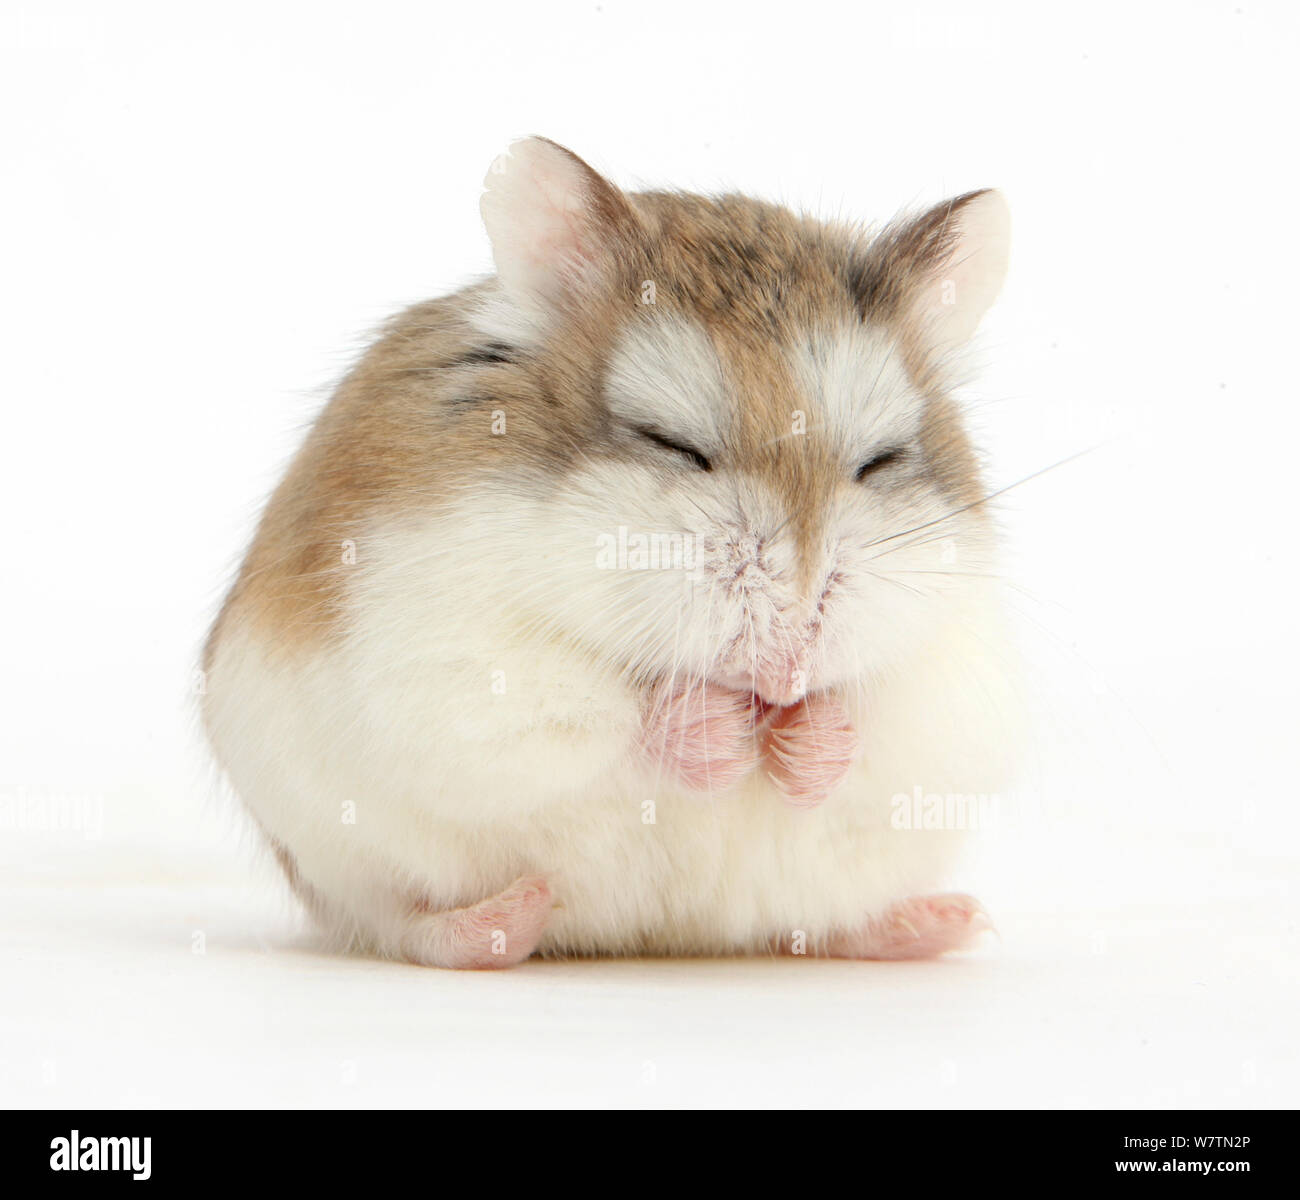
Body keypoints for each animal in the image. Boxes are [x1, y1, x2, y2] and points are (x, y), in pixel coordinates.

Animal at [202, 135, 1019, 972]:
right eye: (674, 444)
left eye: (878, 462)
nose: (786, 671)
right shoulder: (450, 660)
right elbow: (616, 721)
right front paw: (724, 733)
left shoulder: (956, 686)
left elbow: (873, 730)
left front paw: (802, 737)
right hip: (334, 852)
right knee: (397, 921)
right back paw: (508, 918)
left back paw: (942, 923)